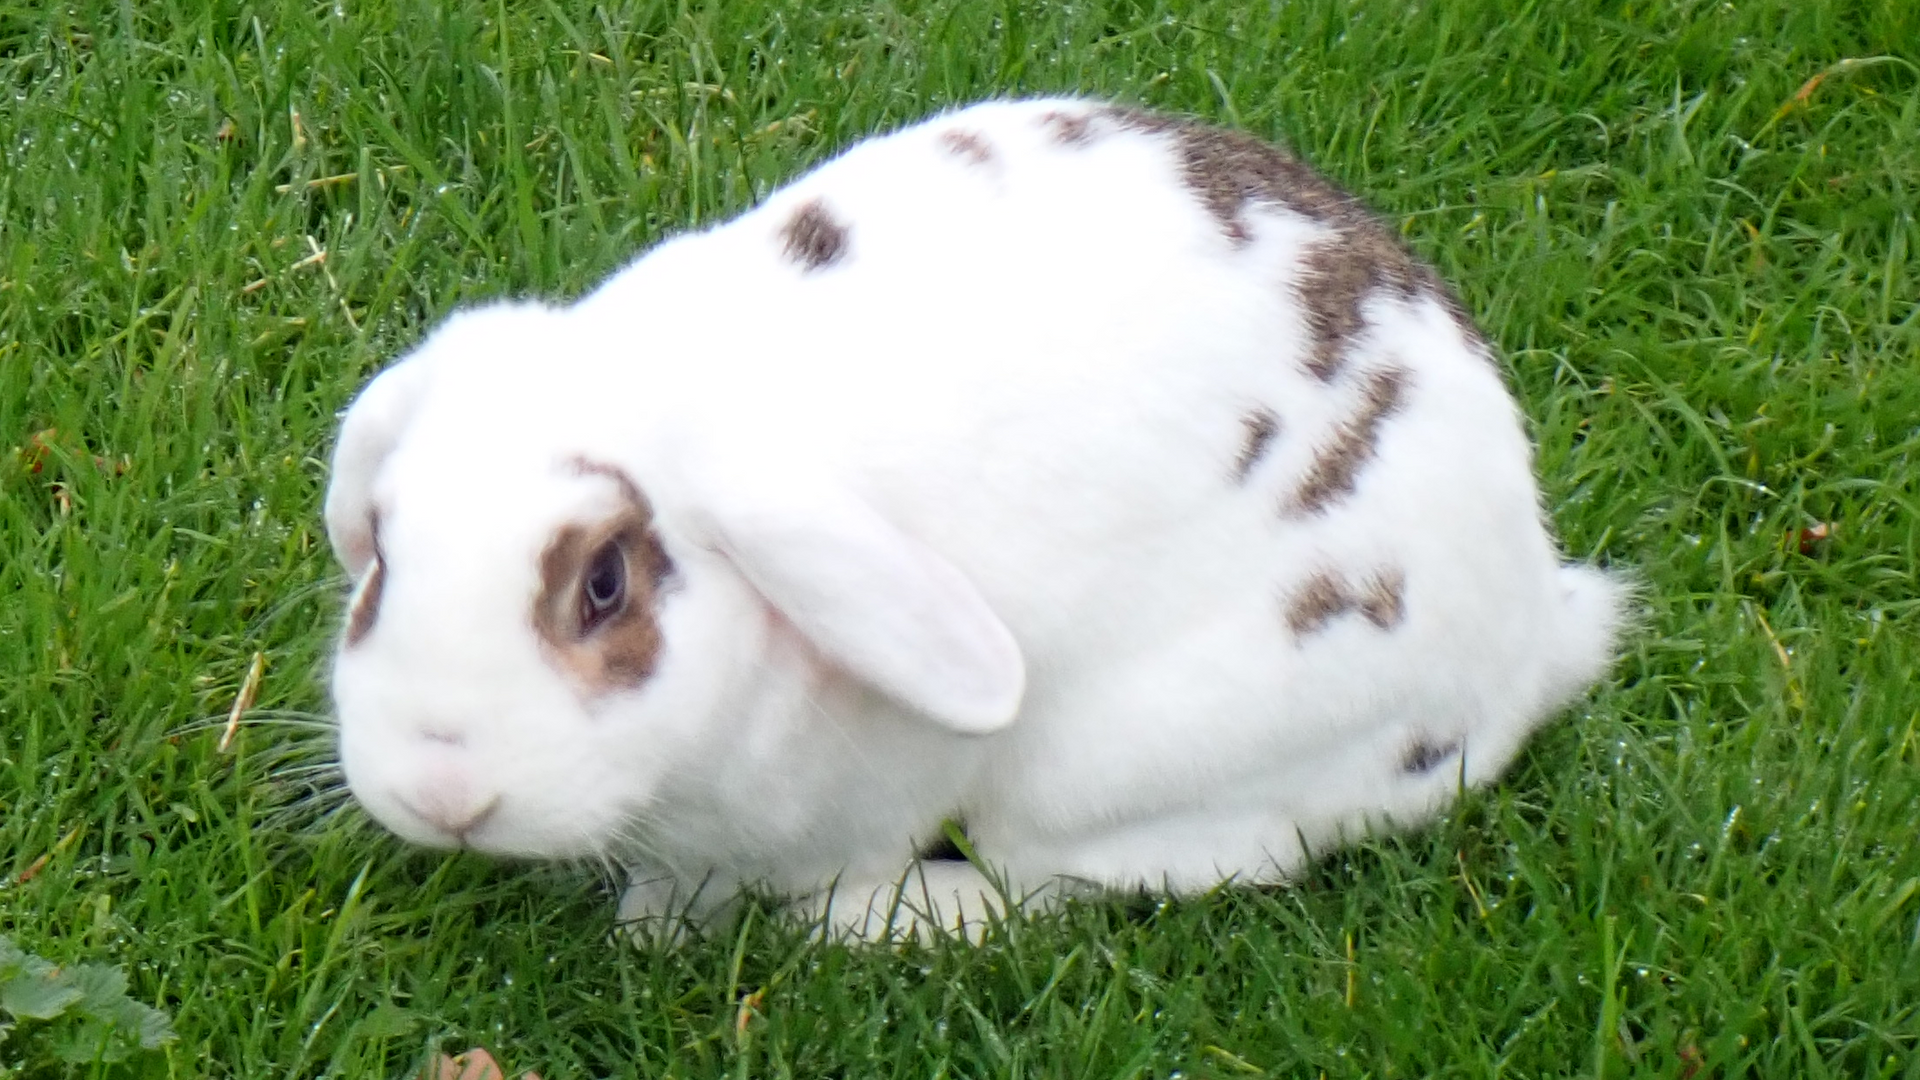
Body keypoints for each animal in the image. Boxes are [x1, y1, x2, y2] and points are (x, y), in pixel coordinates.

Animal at [323, 98, 1626, 942]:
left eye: (606, 584)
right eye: (382, 554)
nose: (442, 792)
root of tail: (1530, 643)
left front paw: (672, 927)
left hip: (1128, 767)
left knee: (1078, 881)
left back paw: (870, 925)